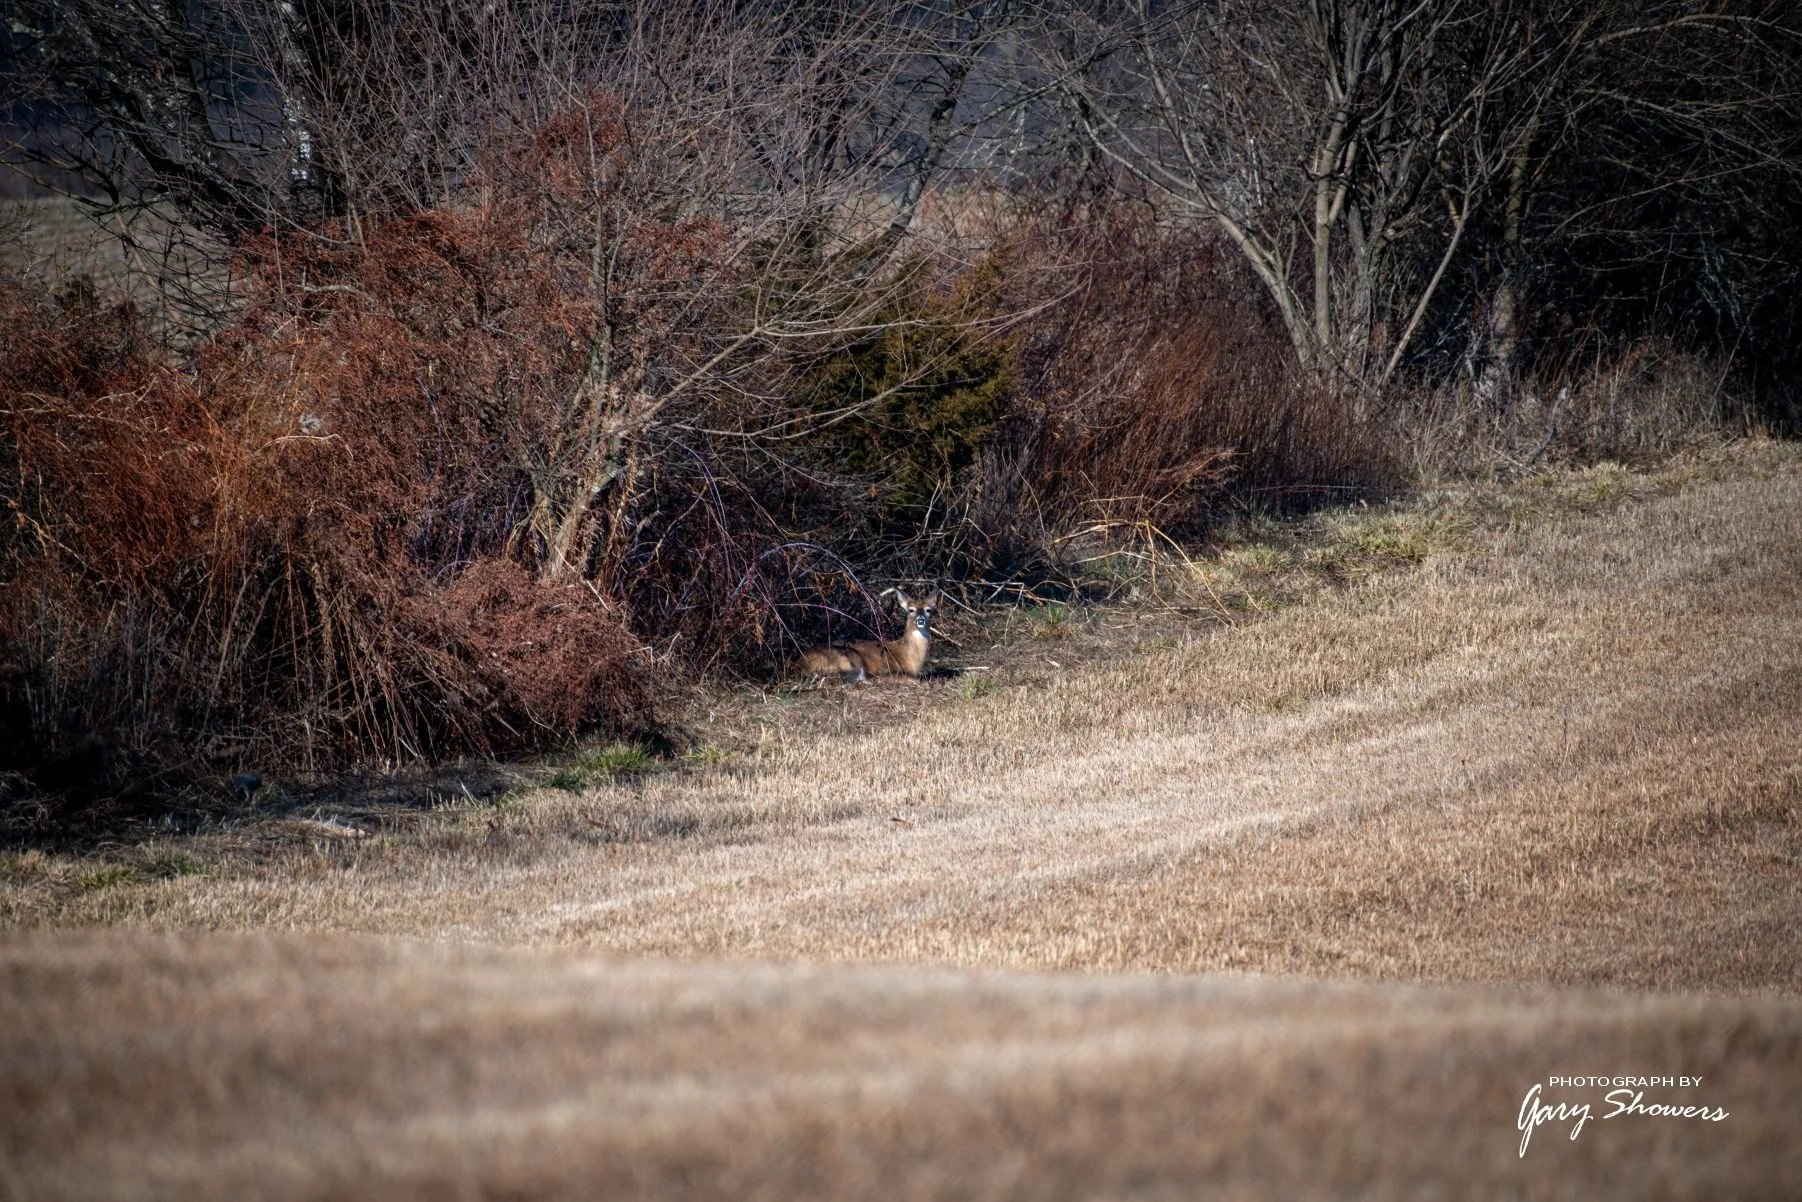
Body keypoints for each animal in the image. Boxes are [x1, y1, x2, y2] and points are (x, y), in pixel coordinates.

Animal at [797, 588, 940, 683]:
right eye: (911, 610)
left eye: (928, 610)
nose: (920, 620)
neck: (908, 657)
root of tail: (799, 663)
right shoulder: (888, 669)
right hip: (846, 659)